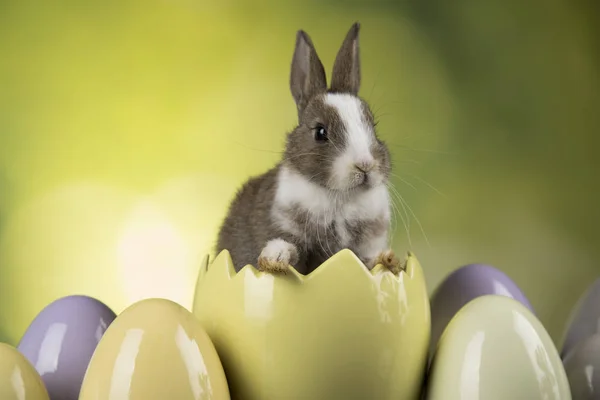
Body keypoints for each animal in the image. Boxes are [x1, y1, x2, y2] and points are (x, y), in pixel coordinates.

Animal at [213, 22, 406, 276]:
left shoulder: (365, 246)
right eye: (320, 132)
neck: (340, 197)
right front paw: (274, 258)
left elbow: (366, 260)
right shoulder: (286, 229)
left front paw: (388, 260)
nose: (364, 165)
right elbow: (290, 250)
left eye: (373, 126)